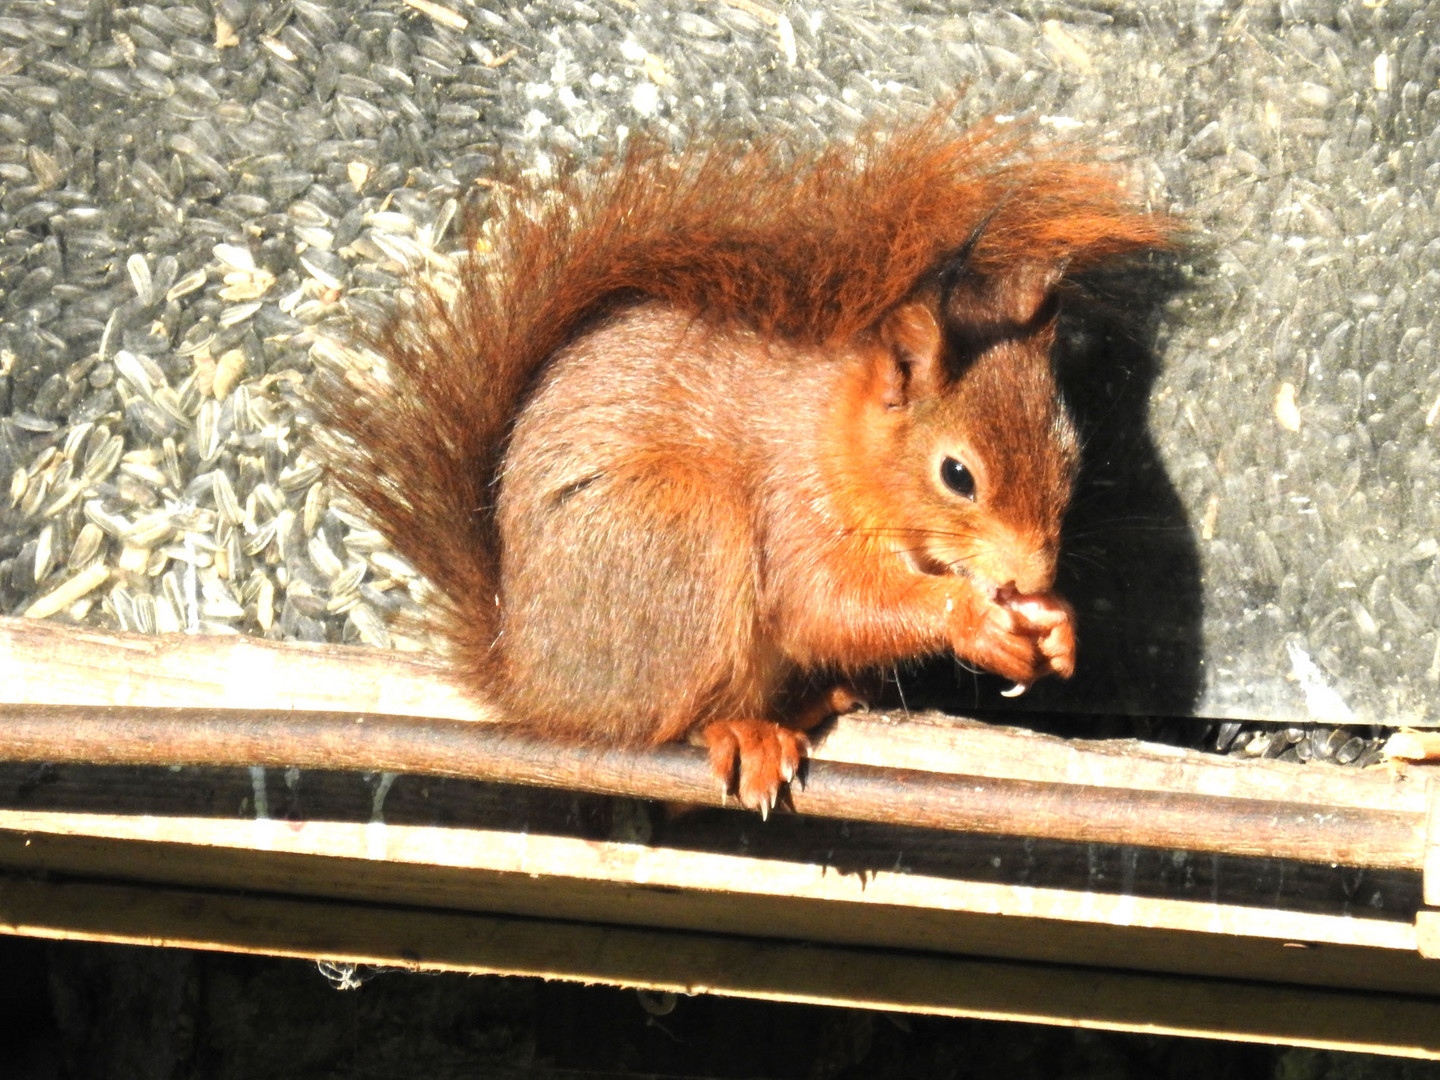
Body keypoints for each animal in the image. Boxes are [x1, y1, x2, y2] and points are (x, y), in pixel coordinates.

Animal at [321, 114, 1175, 817]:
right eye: (957, 475)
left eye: (1071, 453)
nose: (1031, 576)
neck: (836, 442)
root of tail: (531, 679)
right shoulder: (794, 508)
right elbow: (825, 604)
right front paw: (972, 620)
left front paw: (1056, 626)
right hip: (682, 533)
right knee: (666, 717)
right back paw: (742, 731)